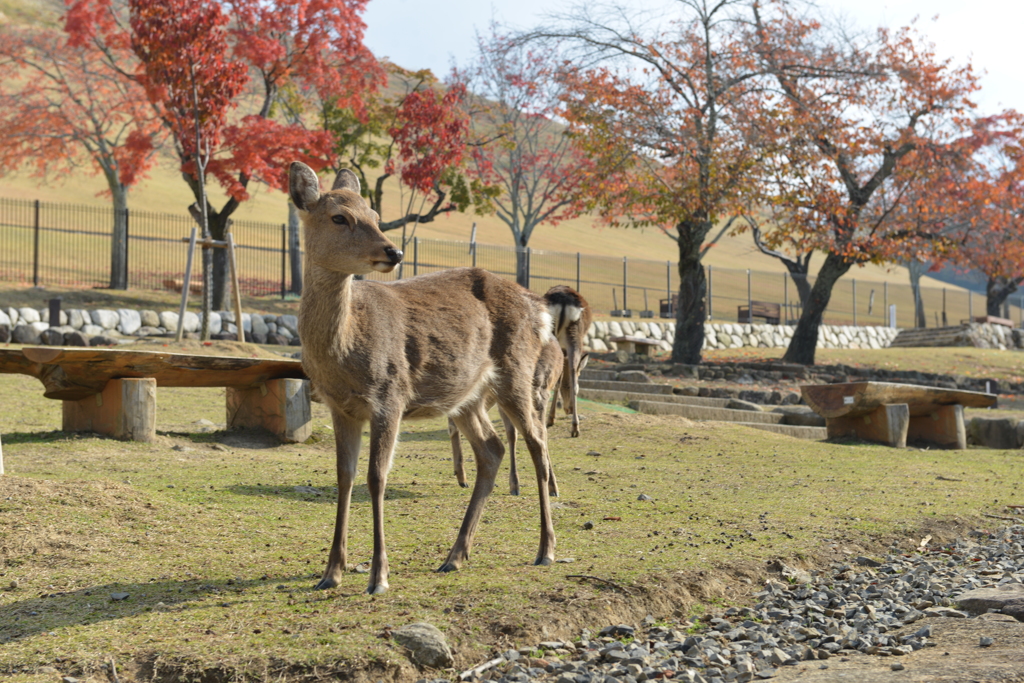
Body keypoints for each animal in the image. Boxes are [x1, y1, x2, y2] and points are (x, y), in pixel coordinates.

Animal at [288, 162, 561, 593]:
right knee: (492, 448)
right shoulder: (340, 406)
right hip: (467, 396)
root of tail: (540, 309)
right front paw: (330, 572)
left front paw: (378, 576)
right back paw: (455, 556)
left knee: (537, 441)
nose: (393, 251)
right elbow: (344, 477)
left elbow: (376, 477)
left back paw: (546, 549)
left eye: (375, 215)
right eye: (339, 217)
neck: (344, 350)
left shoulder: (390, 395)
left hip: (518, 373)